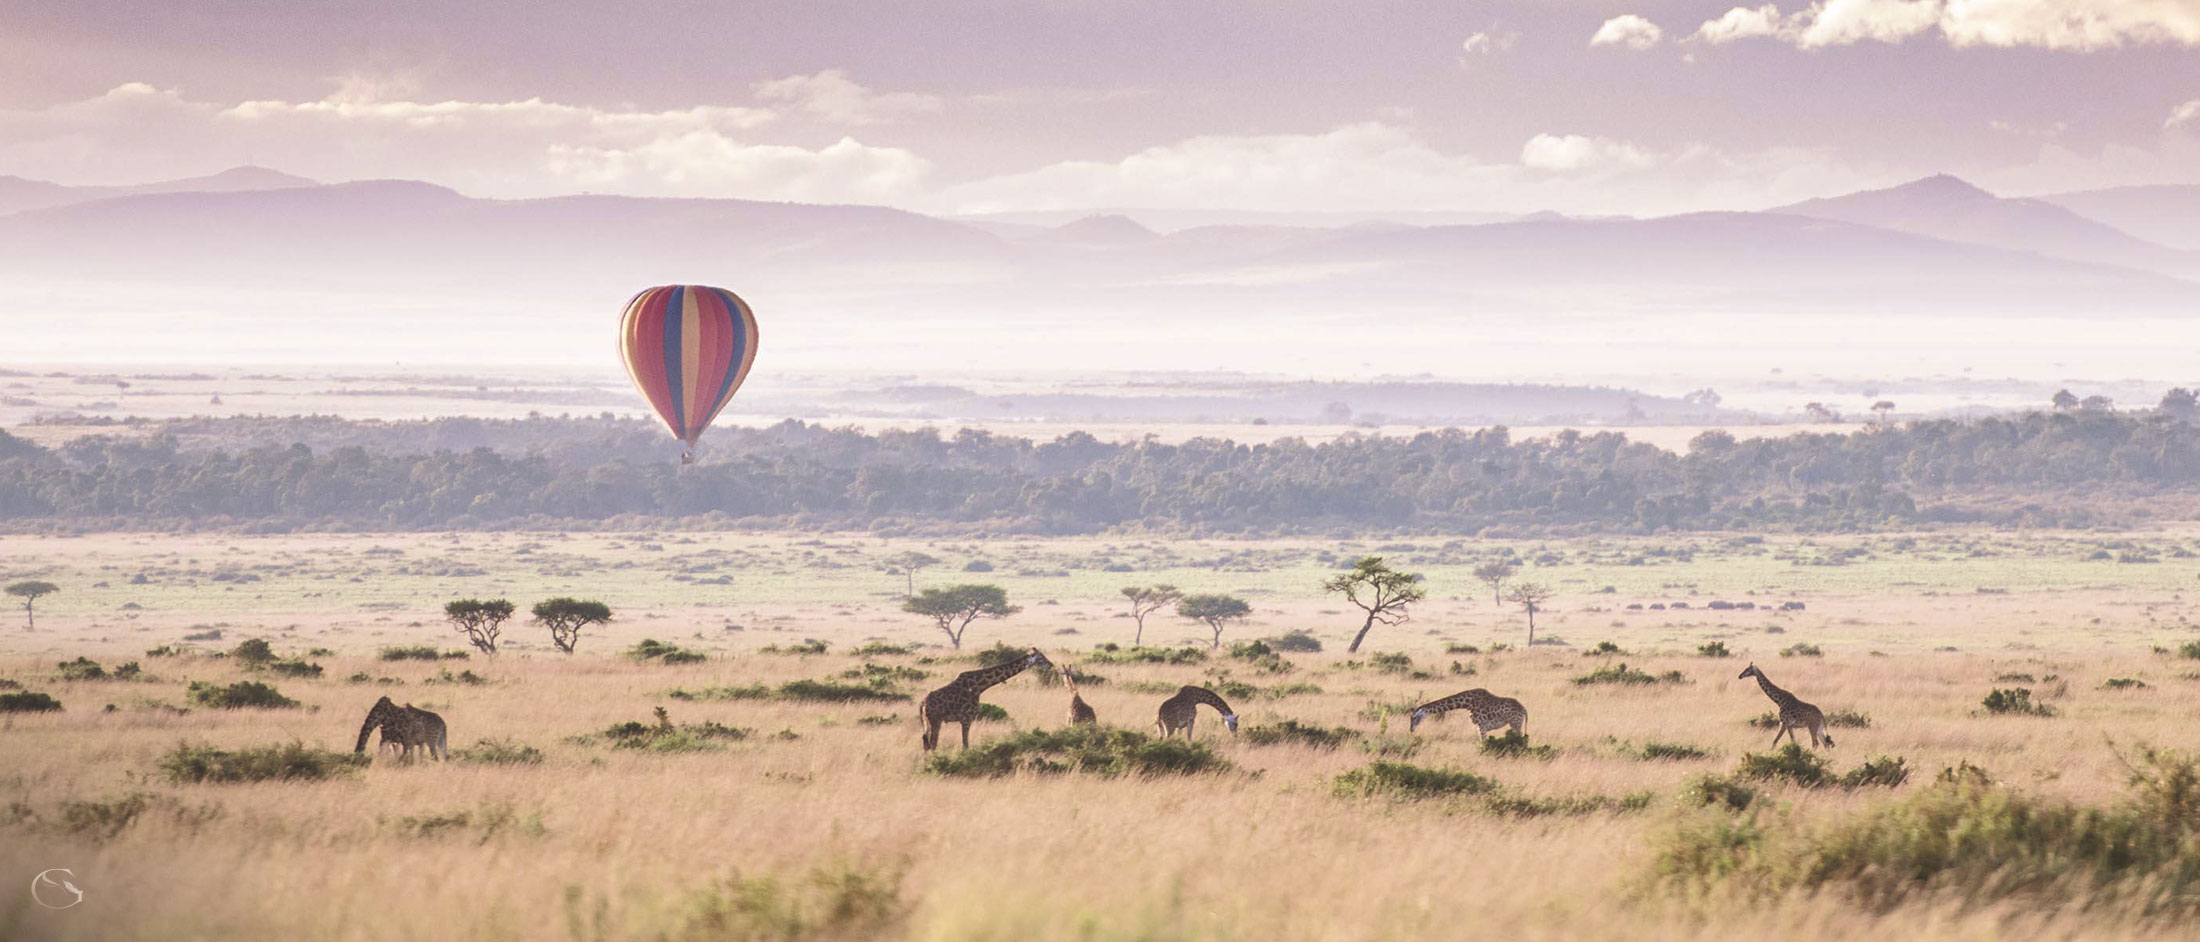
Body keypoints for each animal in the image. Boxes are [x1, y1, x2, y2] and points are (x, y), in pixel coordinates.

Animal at [910, 647, 1047, 752]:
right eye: (1041, 658)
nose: (1050, 664)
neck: (979, 687)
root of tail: (922, 703)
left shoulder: (965, 719)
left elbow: (965, 744)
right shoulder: (967, 718)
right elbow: (965, 745)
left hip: (926, 721)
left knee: (925, 742)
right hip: (935, 720)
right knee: (932, 743)